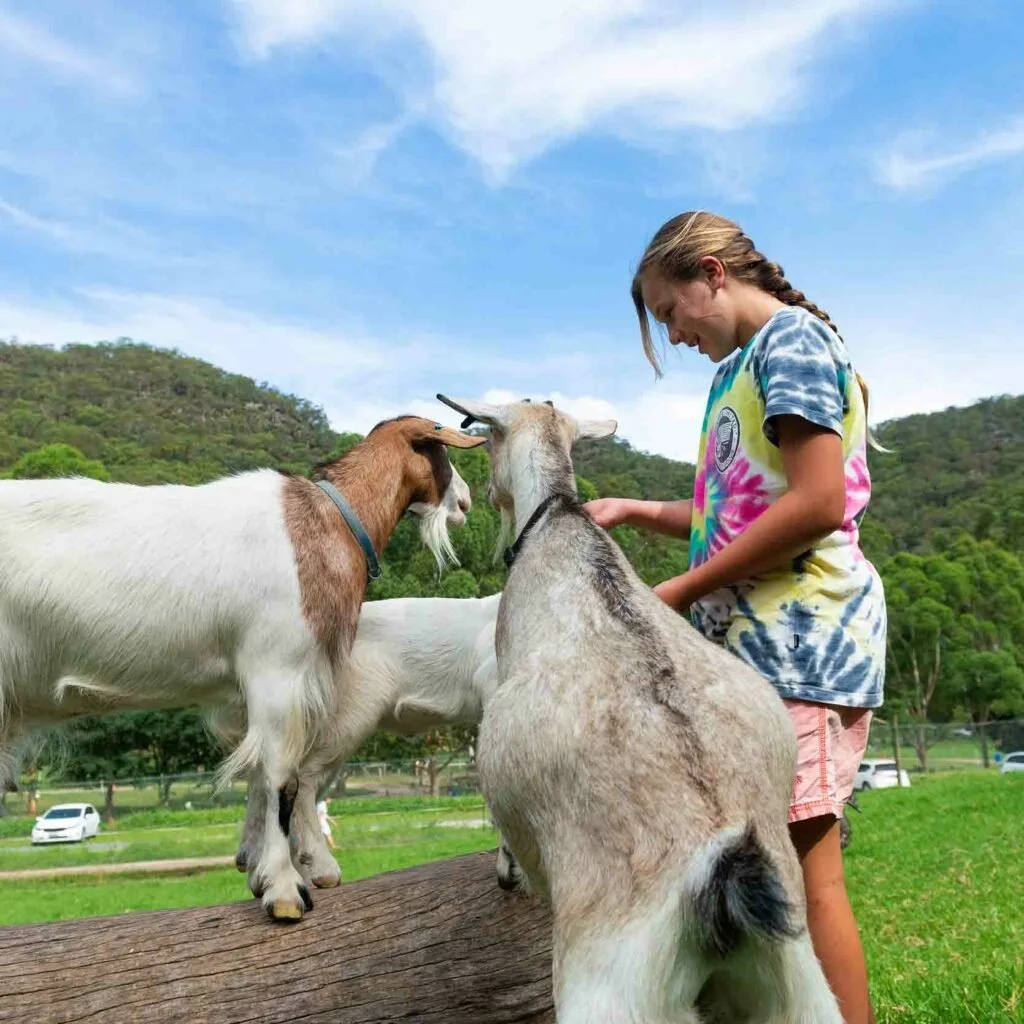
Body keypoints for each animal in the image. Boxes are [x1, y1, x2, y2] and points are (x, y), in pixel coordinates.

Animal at [436, 395, 841, 1024]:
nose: (479, 495)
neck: (558, 519)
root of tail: (721, 865)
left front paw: (506, 870)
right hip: (798, 985)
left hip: (609, 984)